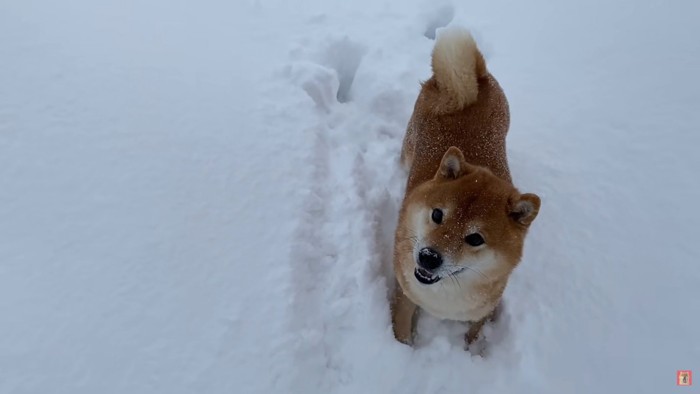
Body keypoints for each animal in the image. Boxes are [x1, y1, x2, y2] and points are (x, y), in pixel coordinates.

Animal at [392, 26, 540, 348]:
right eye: (437, 215)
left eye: (475, 239)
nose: (429, 257)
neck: (445, 296)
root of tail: (475, 80)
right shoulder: (405, 293)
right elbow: (402, 329)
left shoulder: (485, 309)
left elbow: (475, 335)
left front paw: (473, 351)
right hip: (410, 144)